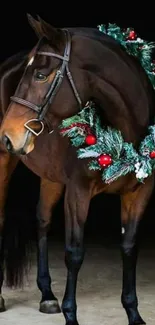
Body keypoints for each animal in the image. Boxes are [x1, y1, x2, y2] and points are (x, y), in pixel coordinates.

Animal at [0, 14, 155, 324]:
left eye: (40, 75)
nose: (7, 135)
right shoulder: (78, 192)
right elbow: (74, 253)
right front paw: (71, 315)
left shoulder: (140, 192)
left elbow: (129, 247)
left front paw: (133, 312)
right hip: (3, 162)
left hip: (50, 176)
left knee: (42, 220)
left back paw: (47, 295)